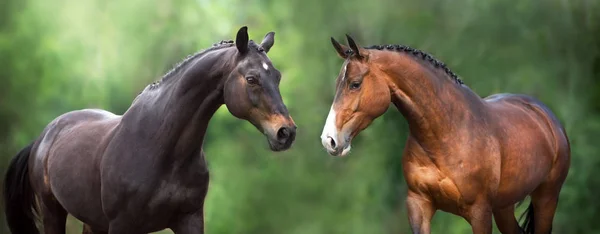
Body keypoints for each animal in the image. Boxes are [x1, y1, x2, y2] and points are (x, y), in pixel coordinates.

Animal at [3, 25, 296, 234]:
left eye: (277, 76)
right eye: (252, 79)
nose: (286, 133)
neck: (163, 150)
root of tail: (43, 137)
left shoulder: (189, 220)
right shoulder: (123, 226)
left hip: (92, 222)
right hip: (52, 212)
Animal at [322, 35, 568, 234]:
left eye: (355, 84)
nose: (329, 140)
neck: (445, 134)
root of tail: (546, 117)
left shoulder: (480, 213)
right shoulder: (419, 205)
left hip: (546, 198)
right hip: (504, 208)